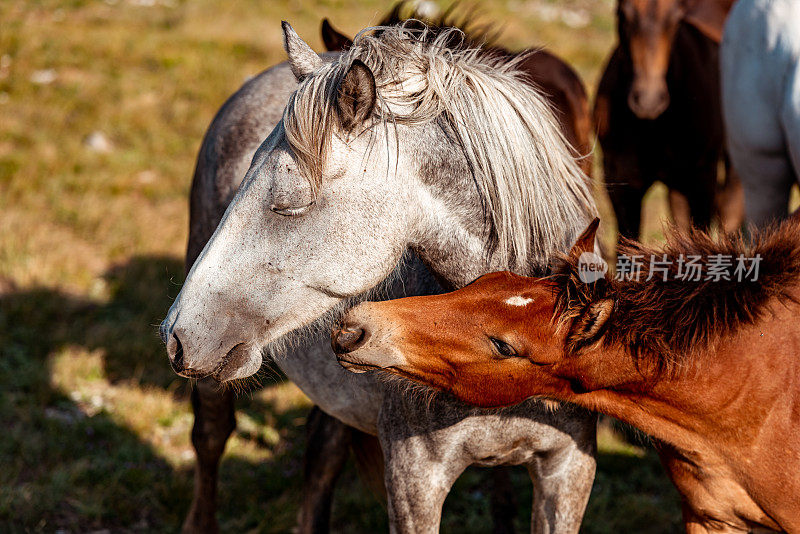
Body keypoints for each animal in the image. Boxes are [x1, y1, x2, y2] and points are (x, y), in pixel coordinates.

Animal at [592, 0, 744, 240]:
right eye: (624, 13)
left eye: (674, 18)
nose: (648, 100)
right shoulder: (621, 180)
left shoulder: (702, 177)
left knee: (730, 210)